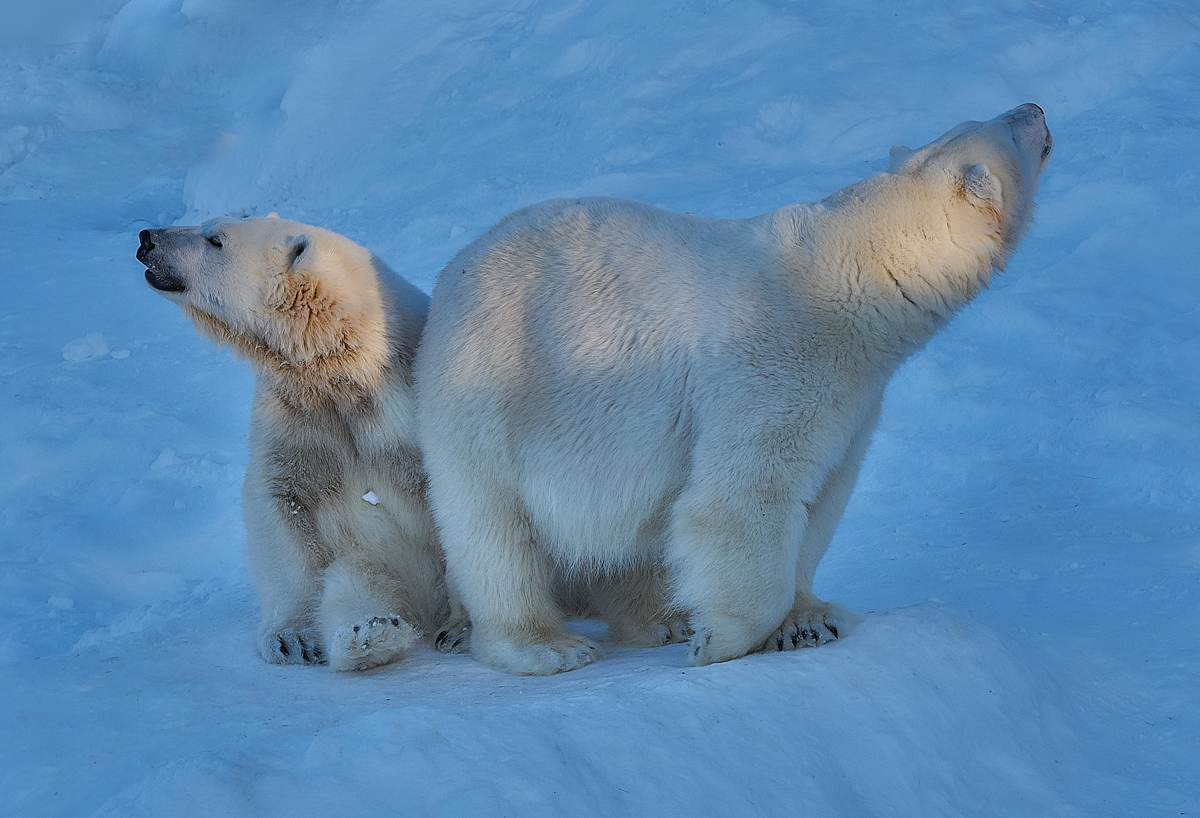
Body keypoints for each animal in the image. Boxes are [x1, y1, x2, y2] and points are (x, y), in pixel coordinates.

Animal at [133, 217, 465, 666]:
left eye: (214, 239)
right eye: (209, 228)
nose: (147, 237)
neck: (344, 369)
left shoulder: (404, 413)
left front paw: (461, 627)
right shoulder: (299, 417)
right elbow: (282, 502)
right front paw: (291, 638)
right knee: (355, 581)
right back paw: (369, 634)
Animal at [417, 103, 1056, 676]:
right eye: (1003, 128)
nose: (1036, 108)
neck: (850, 276)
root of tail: (452, 275)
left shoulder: (854, 399)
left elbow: (824, 496)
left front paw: (809, 620)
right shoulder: (773, 365)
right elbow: (745, 497)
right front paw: (719, 639)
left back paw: (659, 617)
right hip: (498, 387)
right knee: (493, 525)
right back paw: (544, 646)